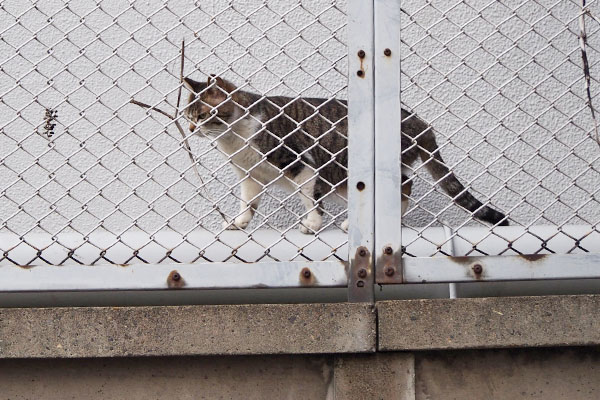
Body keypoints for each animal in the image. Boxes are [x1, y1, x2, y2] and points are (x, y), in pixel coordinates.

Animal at [182, 75, 506, 233]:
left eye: (202, 115)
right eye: (187, 114)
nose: (189, 128)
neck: (234, 139)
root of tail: (419, 122)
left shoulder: (300, 164)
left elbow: (310, 199)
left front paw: (312, 225)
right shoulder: (251, 177)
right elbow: (247, 204)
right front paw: (238, 224)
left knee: (403, 186)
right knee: (404, 184)